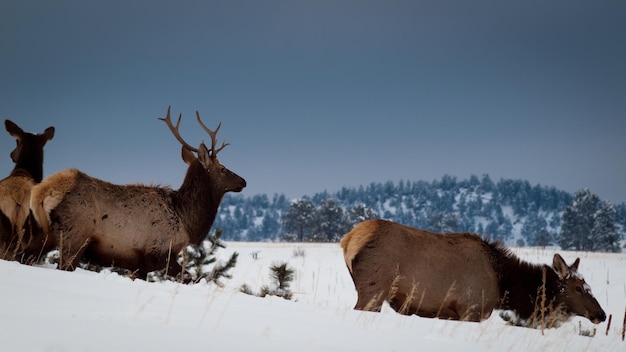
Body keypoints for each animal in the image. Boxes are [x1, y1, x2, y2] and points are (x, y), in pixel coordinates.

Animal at [29, 107, 244, 278]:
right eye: (223, 168)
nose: (244, 181)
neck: (186, 220)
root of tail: (42, 191)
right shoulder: (158, 253)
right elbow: (190, 278)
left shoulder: (140, 266)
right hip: (75, 237)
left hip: (42, 234)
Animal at [342, 219, 604, 328]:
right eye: (578, 288)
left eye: (588, 286)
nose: (601, 314)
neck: (504, 285)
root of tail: (349, 239)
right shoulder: (471, 308)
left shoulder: (448, 313)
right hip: (374, 288)